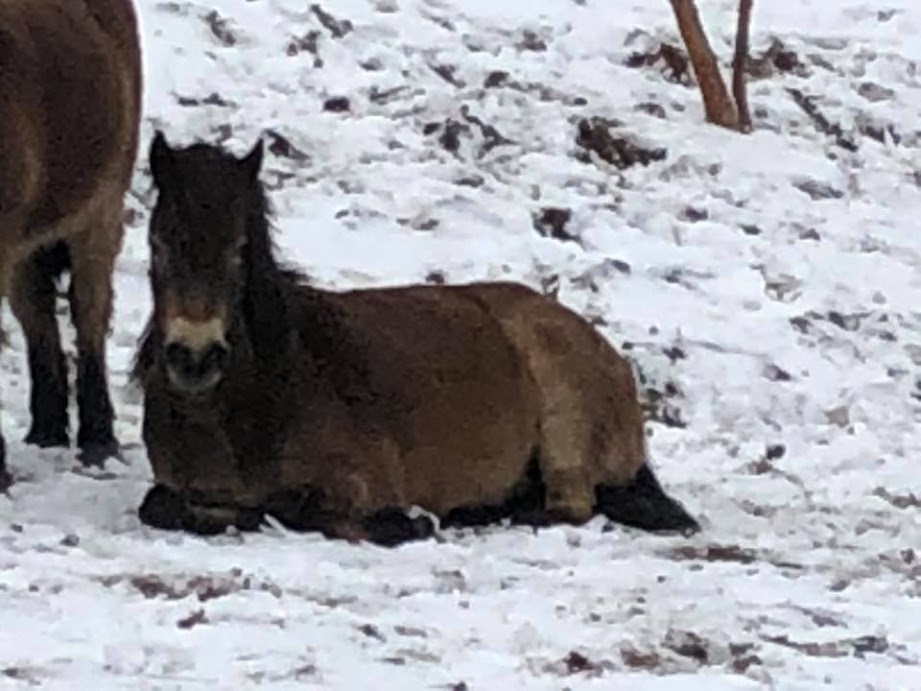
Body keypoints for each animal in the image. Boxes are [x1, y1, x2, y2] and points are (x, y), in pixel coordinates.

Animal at [135, 134, 696, 548]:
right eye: (158, 243)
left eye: (238, 249)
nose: (194, 357)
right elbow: (159, 506)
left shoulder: (360, 477)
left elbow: (304, 508)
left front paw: (407, 521)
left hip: (566, 429)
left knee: (571, 505)